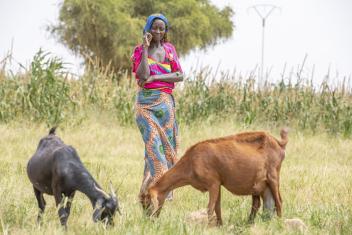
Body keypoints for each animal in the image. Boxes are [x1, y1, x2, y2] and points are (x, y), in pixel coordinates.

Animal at [140, 129, 288, 226]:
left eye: (147, 203)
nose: (148, 222)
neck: (192, 159)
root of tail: (278, 143)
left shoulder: (213, 183)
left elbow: (210, 208)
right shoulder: (218, 185)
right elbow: (217, 207)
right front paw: (219, 225)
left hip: (273, 177)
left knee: (279, 201)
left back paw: (280, 224)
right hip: (261, 185)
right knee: (263, 204)